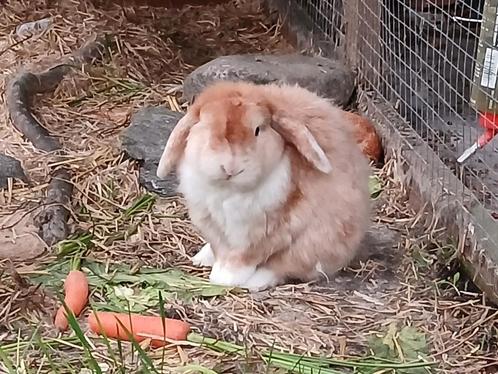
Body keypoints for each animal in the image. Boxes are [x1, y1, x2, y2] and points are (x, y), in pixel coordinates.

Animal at [158, 81, 372, 292]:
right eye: (208, 127)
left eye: (258, 130)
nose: (231, 168)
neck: (229, 190)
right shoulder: (212, 226)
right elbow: (220, 248)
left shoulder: (271, 231)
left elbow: (246, 257)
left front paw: (226, 278)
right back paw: (202, 258)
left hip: (316, 243)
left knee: (284, 266)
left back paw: (254, 282)